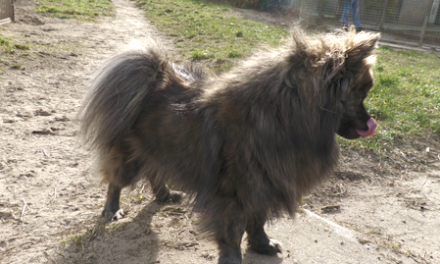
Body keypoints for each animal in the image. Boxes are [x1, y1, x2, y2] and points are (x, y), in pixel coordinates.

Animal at [81, 28, 380, 264]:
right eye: (359, 95)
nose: (370, 122)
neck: (283, 115)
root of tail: (152, 80)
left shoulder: (263, 183)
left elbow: (257, 220)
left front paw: (262, 244)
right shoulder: (233, 192)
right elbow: (233, 231)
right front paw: (233, 257)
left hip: (163, 149)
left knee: (156, 172)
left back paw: (165, 195)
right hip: (130, 159)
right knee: (116, 181)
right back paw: (112, 209)